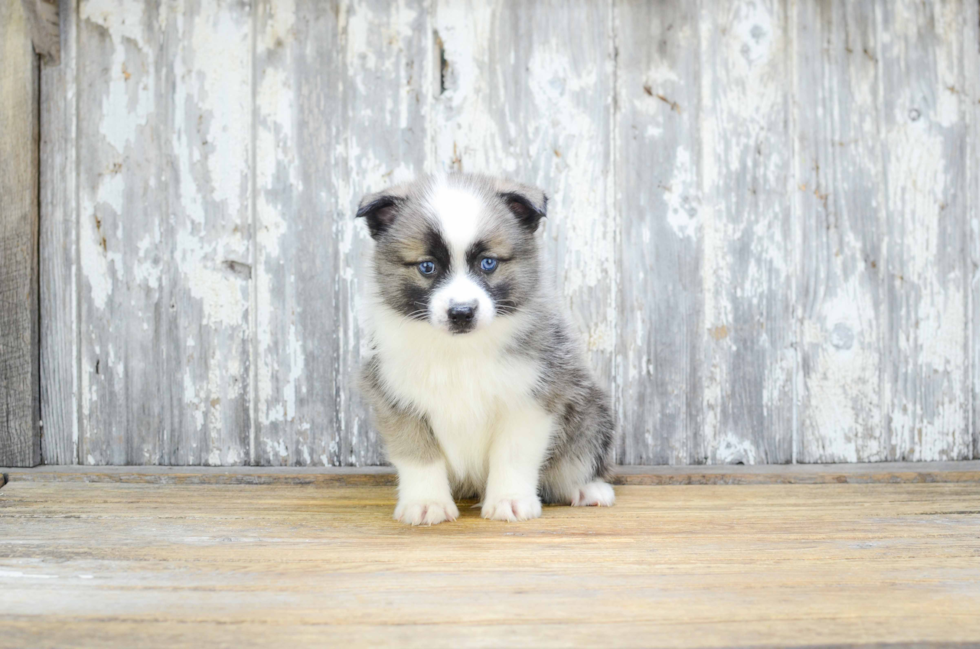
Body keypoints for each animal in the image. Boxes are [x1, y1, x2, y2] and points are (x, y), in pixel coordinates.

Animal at [356, 173, 612, 528]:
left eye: (488, 263)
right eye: (427, 267)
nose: (462, 313)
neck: (461, 349)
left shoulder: (530, 399)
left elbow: (513, 455)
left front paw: (510, 500)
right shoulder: (399, 401)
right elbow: (419, 456)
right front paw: (426, 503)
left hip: (591, 413)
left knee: (576, 461)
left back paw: (586, 489)